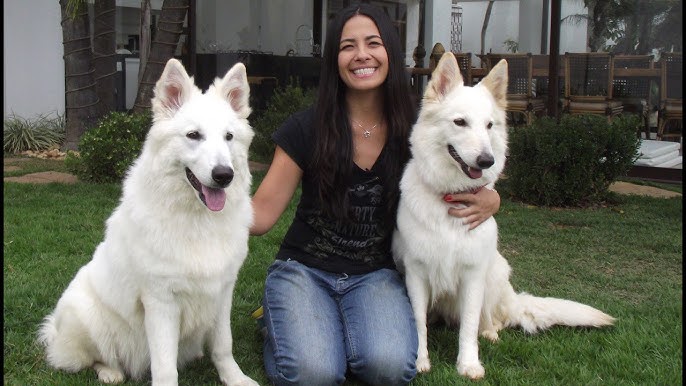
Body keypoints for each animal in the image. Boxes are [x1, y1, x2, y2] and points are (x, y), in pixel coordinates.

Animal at [39, 58, 262, 386]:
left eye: (229, 137)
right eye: (193, 135)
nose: (224, 175)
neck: (197, 219)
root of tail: (53, 331)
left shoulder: (222, 292)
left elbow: (223, 345)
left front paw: (235, 378)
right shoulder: (161, 302)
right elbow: (165, 365)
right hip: (84, 316)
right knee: (93, 358)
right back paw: (110, 371)